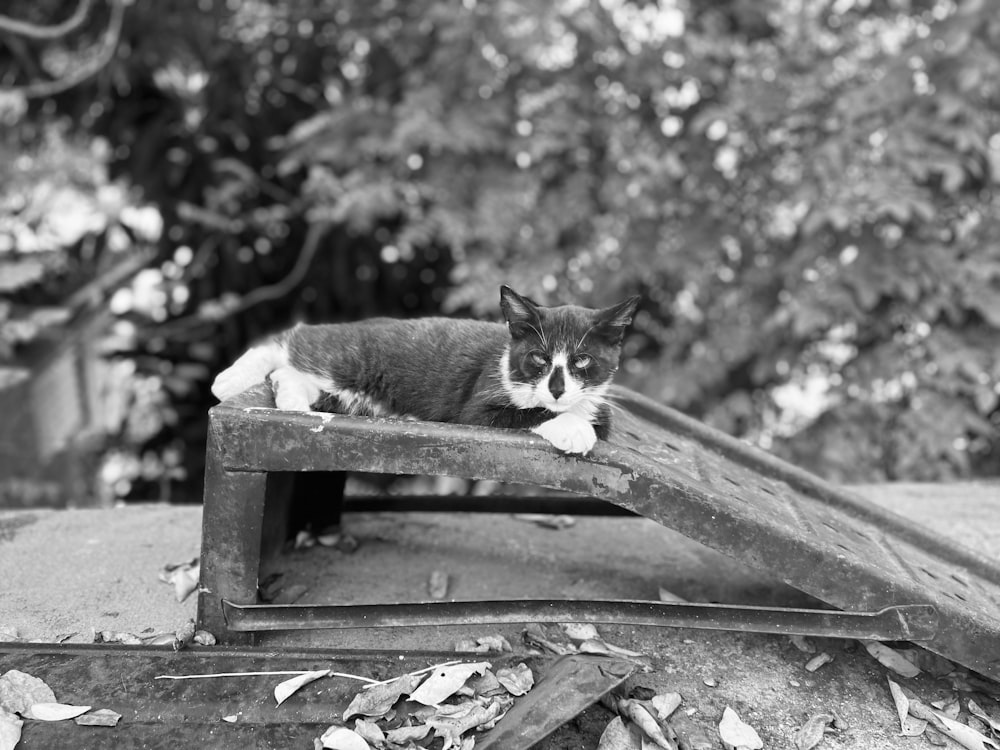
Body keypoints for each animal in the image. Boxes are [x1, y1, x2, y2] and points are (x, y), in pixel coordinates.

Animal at [211, 284, 640, 456]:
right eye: (538, 357)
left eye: (583, 360)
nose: (556, 389)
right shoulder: (477, 401)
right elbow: (523, 413)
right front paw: (572, 428)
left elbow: (600, 419)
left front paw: (579, 419)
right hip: (350, 355)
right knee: (290, 341)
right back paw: (227, 380)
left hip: (349, 394)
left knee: (289, 375)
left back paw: (293, 404)